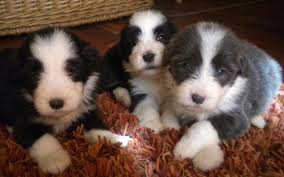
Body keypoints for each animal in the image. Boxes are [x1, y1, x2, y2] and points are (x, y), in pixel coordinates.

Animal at [0, 28, 130, 174]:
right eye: (35, 74)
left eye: (72, 70)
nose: (56, 103)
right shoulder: (21, 120)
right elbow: (41, 137)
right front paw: (55, 159)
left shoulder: (85, 110)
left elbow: (96, 126)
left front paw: (114, 139)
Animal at [161, 21, 282, 171]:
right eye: (184, 64)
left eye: (221, 71)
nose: (198, 98)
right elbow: (173, 113)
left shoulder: (237, 119)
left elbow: (203, 125)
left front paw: (187, 149)